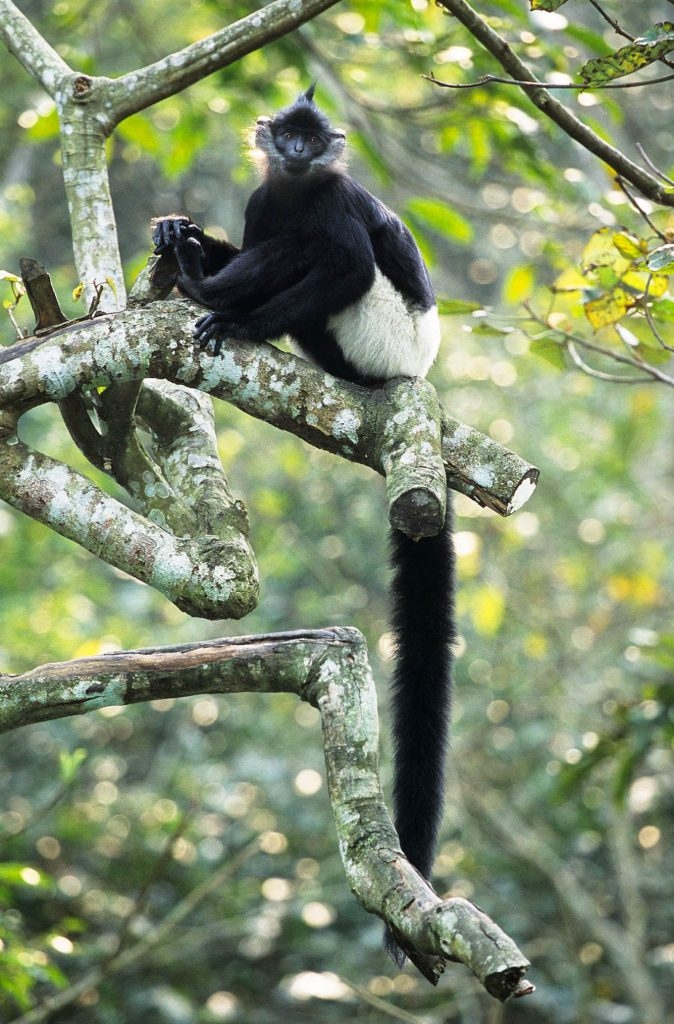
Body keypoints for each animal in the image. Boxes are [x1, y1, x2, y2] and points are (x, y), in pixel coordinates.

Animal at [153, 86, 450, 958]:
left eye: (309, 140)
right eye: (284, 134)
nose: (291, 151)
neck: (292, 188)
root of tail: (414, 367)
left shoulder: (335, 200)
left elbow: (345, 260)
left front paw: (233, 315)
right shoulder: (263, 202)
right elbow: (256, 231)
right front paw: (178, 235)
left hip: (376, 334)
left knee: (319, 257)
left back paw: (207, 292)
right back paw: (190, 266)